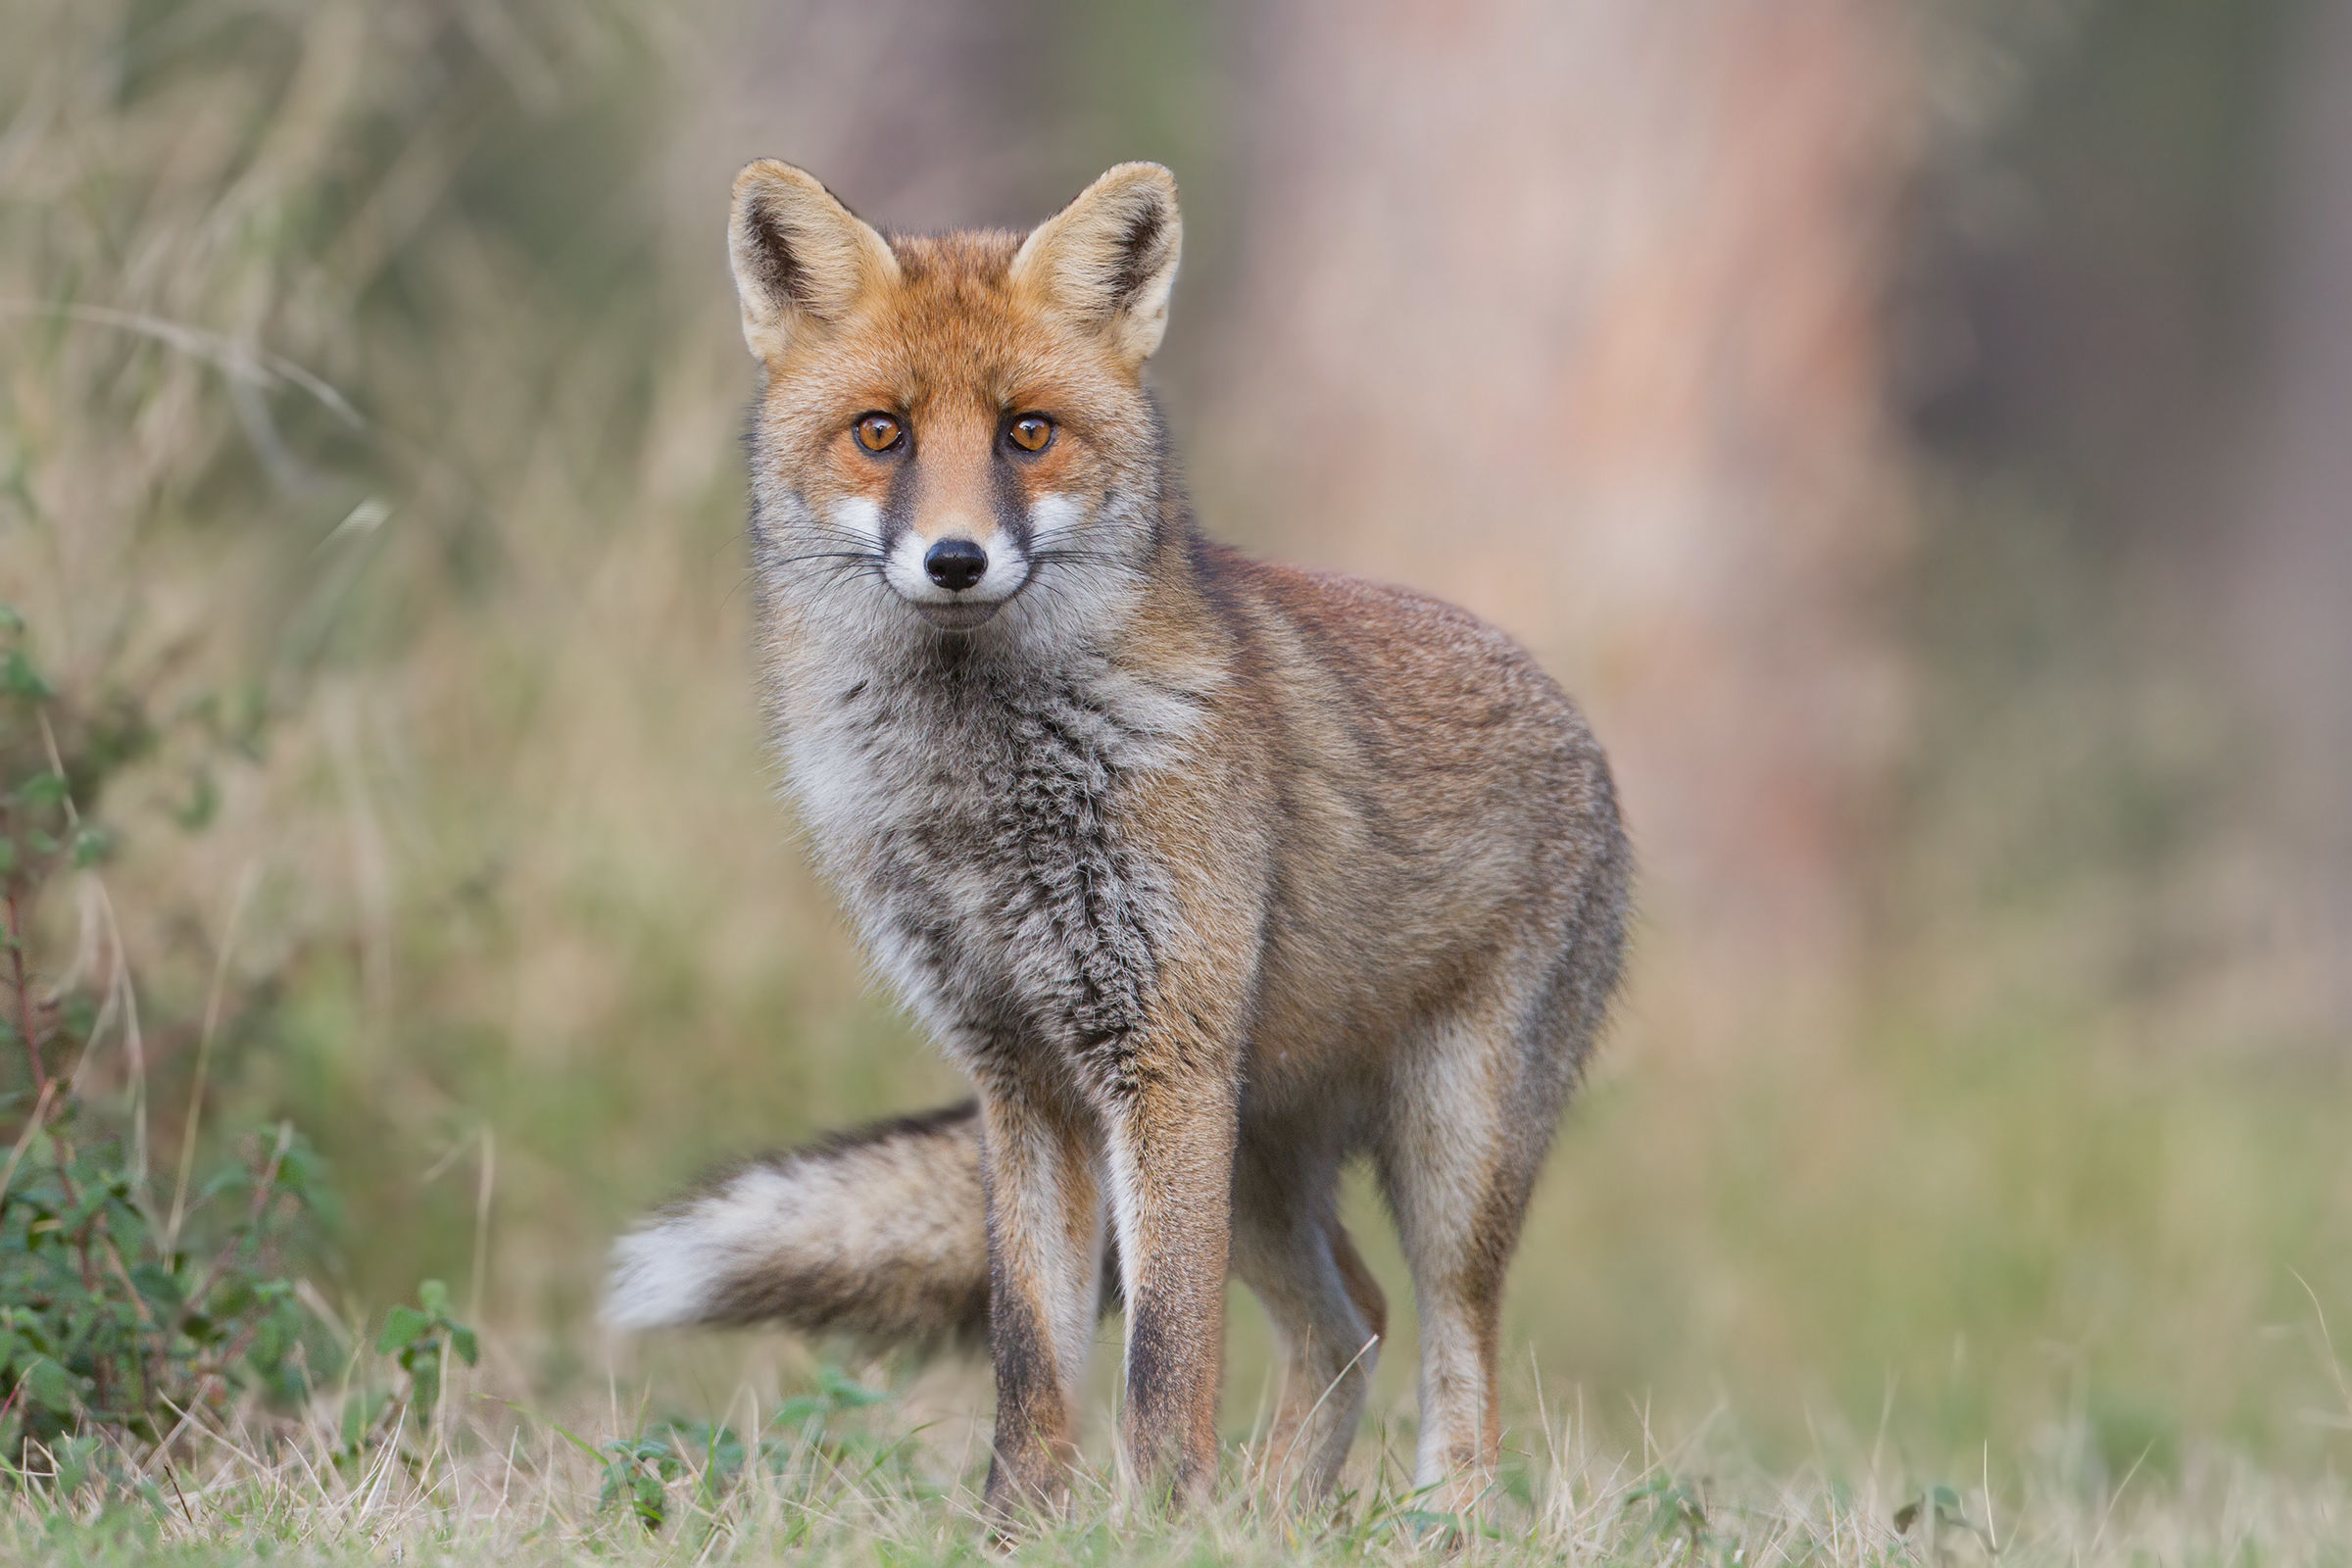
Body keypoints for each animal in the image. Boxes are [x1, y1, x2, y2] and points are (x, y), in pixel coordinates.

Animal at [603, 159, 1631, 1519]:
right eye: (882, 432)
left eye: (1026, 432)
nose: (954, 559)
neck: (985, 796)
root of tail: (1576, 718)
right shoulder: (1023, 1078)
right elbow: (1033, 1362)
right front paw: (1018, 1530)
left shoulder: (1163, 1063)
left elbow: (1163, 1361)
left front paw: (1162, 1524)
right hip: (1260, 1162)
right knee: (1349, 1320)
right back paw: (1272, 1522)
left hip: (1446, 1157)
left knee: (1459, 1373)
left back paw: (1427, 1528)